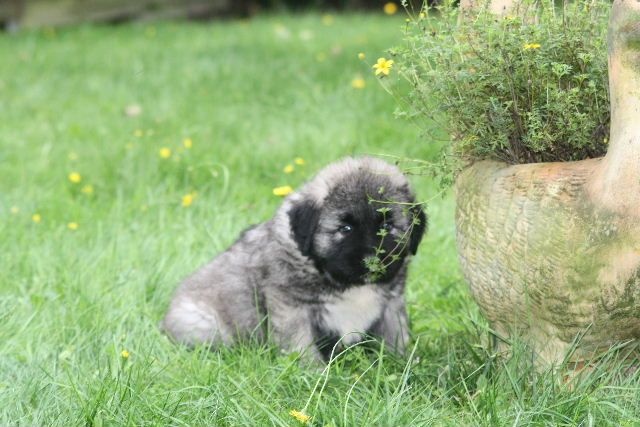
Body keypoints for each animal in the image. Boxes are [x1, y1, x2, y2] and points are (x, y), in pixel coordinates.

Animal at [162, 157, 428, 362]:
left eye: (387, 226)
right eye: (345, 228)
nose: (372, 260)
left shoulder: (391, 304)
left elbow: (397, 337)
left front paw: (404, 365)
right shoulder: (291, 308)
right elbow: (301, 345)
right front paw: (314, 374)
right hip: (205, 324)